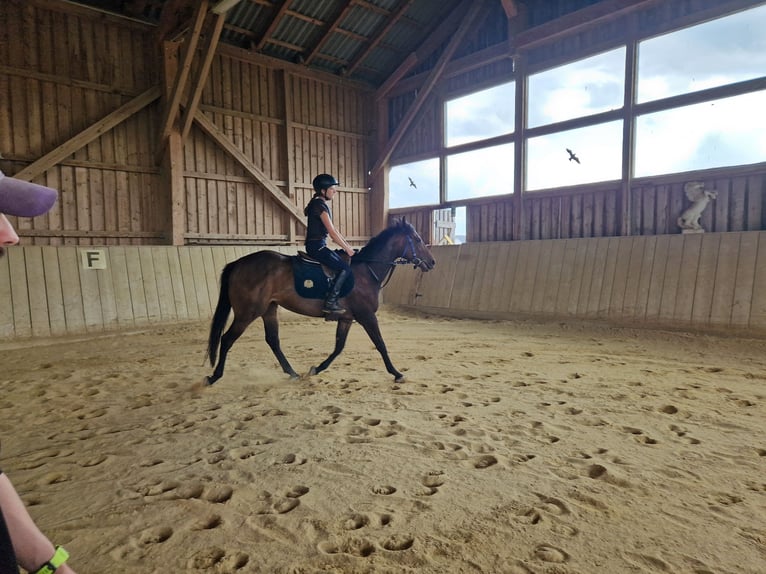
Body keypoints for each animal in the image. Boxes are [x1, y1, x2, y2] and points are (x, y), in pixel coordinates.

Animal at [204, 219, 436, 388]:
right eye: (417, 239)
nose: (432, 262)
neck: (366, 271)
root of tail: (239, 263)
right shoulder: (367, 316)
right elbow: (380, 344)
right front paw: (397, 373)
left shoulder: (347, 318)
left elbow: (338, 347)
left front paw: (316, 369)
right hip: (248, 312)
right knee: (227, 339)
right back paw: (214, 377)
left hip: (269, 309)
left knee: (273, 340)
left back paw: (292, 373)